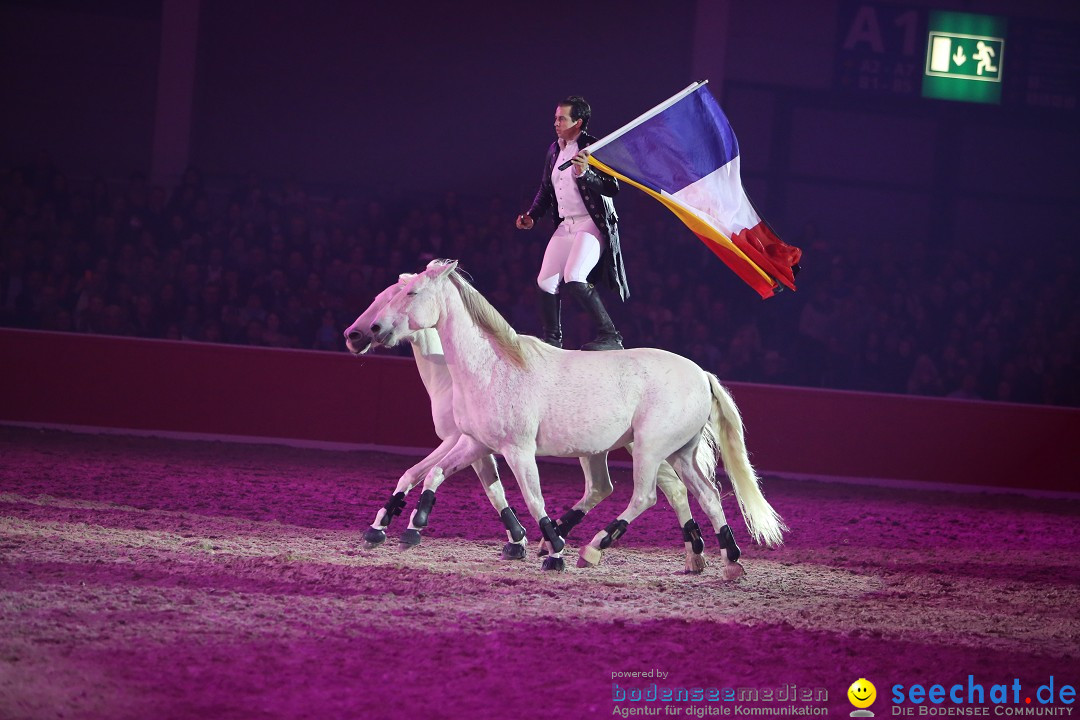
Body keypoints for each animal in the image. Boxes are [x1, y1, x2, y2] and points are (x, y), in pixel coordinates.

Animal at [371, 262, 786, 578]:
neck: (493, 368)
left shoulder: (518, 451)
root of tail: (702, 374)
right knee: (707, 496)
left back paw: (593, 548)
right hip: (678, 453)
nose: (373, 330)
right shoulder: (476, 443)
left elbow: (533, 499)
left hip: (650, 449)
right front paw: (412, 526)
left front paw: (555, 552)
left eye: (410, 293)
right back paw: (727, 562)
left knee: (646, 496)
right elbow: (436, 474)